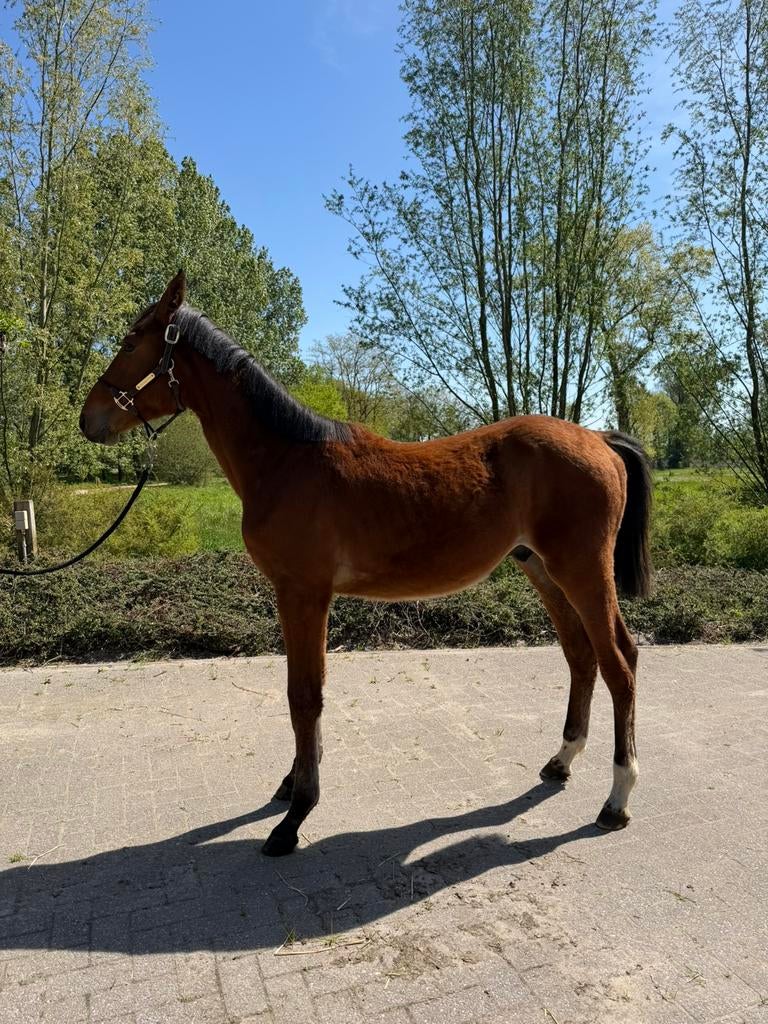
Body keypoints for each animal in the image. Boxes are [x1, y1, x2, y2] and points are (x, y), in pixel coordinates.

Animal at [80, 271, 652, 857]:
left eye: (131, 341)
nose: (88, 419)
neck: (286, 461)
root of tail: (598, 439)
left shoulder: (304, 593)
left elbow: (304, 695)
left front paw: (295, 816)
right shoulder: (296, 596)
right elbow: (302, 690)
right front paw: (291, 786)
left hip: (582, 571)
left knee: (619, 664)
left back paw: (616, 801)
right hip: (542, 569)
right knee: (581, 657)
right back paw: (561, 762)